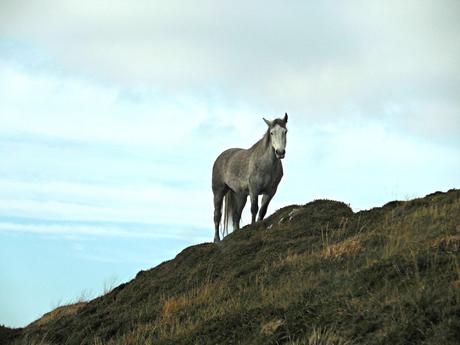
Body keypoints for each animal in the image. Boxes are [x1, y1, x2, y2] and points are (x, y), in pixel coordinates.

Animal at [211, 113, 288, 242]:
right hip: (218, 192)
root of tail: (220, 157)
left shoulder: (270, 192)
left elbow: (262, 211)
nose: (280, 152)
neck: (265, 165)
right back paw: (217, 239)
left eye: (285, 131)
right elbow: (254, 209)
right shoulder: (254, 189)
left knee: (236, 217)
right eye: (272, 132)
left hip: (240, 196)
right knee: (217, 215)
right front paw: (252, 228)